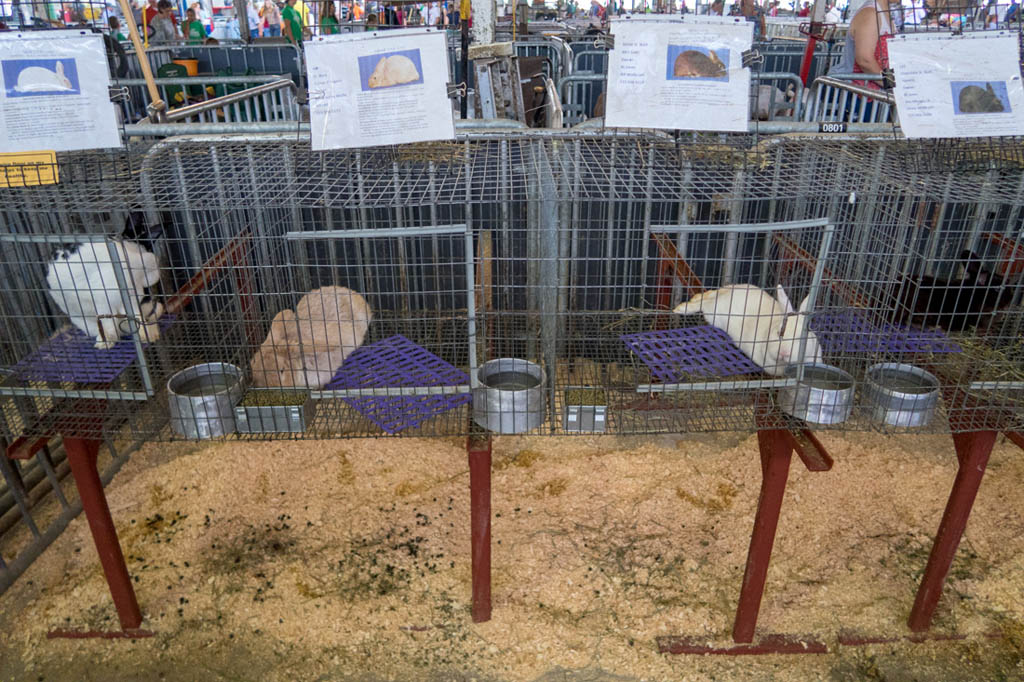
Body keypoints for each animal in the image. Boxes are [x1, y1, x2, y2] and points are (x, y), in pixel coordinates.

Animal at [671, 282, 823, 376]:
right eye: (779, 332)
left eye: (802, 336)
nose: (784, 352)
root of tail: (728, 291)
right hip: (714, 312)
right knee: (703, 303)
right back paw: (680, 309)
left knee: (708, 295)